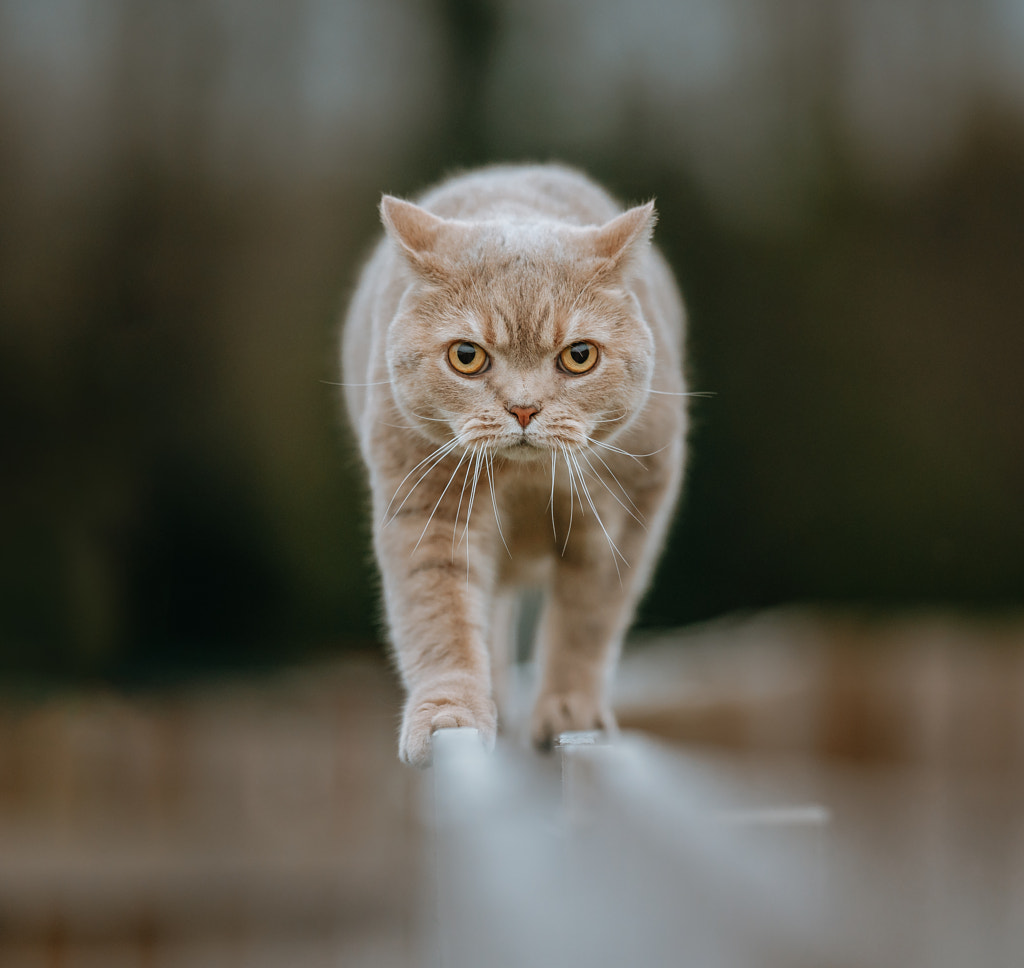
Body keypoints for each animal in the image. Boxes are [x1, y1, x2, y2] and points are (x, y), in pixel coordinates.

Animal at [344, 167, 688, 770]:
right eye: (467, 356)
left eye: (579, 356)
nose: (524, 409)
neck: (525, 484)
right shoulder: (428, 513)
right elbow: (441, 620)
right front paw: (450, 714)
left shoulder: (624, 520)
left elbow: (587, 622)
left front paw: (571, 711)